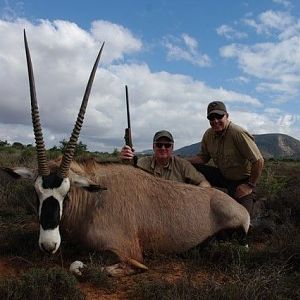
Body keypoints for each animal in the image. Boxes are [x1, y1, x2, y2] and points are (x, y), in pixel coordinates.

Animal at [1, 30, 251, 276]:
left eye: (67, 193)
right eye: (36, 192)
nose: (48, 245)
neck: (93, 200)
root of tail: (238, 207)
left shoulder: (128, 253)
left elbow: (79, 266)